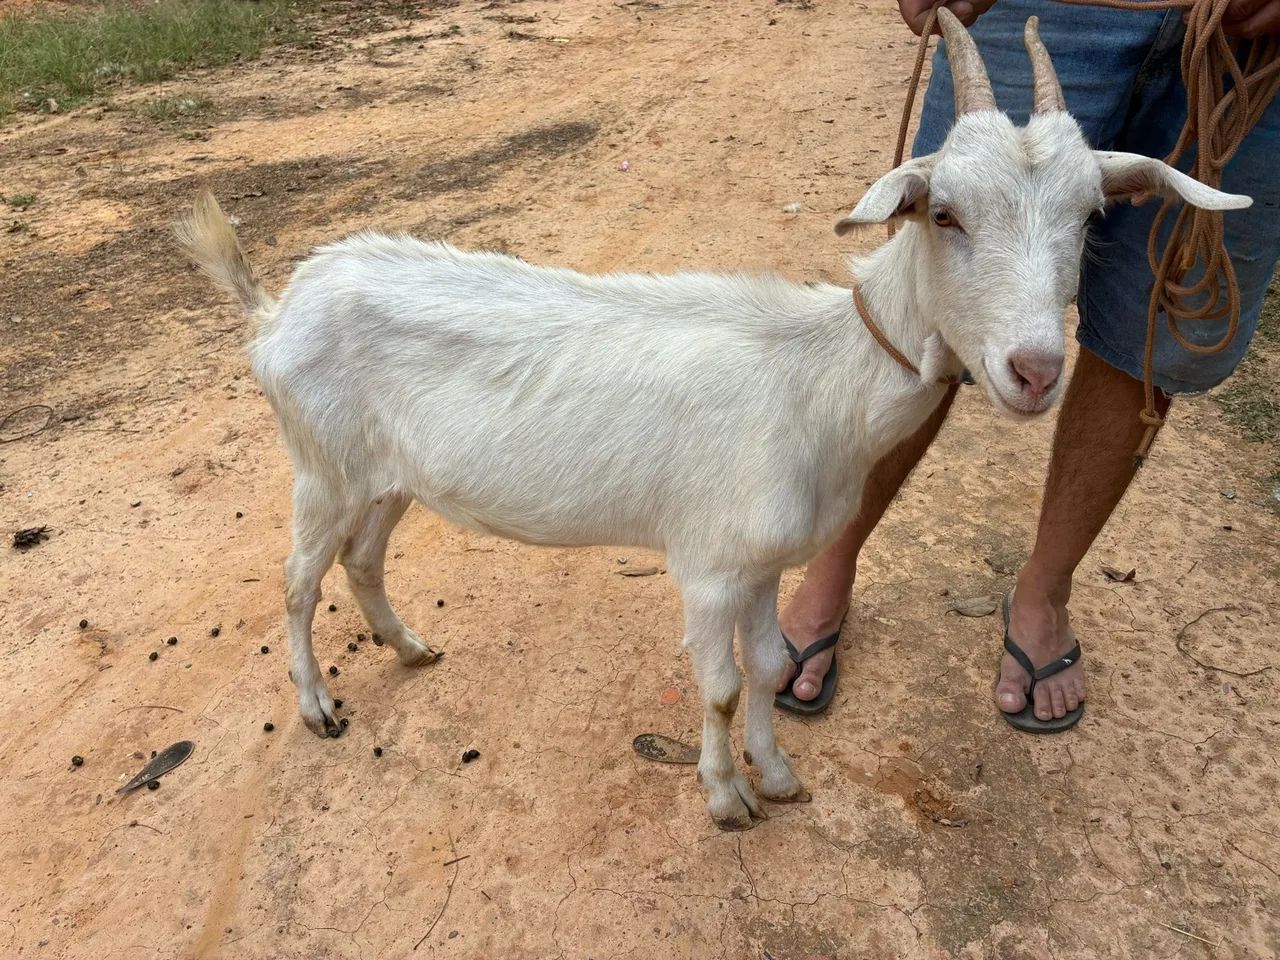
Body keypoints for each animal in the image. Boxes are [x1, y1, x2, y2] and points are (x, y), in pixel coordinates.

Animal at [177, 11, 1248, 830]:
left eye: (1091, 218)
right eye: (943, 214)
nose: (1033, 371)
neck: (820, 378)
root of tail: (274, 309)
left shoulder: (767, 563)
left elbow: (771, 668)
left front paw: (777, 775)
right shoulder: (708, 566)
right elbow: (724, 685)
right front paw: (728, 799)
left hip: (390, 477)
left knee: (362, 560)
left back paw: (408, 648)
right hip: (319, 466)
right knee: (297, 580)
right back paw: (318, 705)